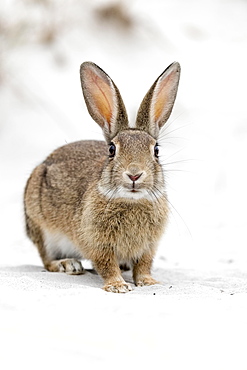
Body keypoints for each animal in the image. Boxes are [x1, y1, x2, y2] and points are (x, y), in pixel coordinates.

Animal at [24, 60, 180, 292]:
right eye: (112, 150)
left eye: (156, 150)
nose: (134, 174)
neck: (131, 201)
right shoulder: (97, 243)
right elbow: (106, 264)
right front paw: (118, 286)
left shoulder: (148, 247)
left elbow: (144, 264)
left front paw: (148, 282)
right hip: (41, 226)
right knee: (46, 258)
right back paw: (68, 264)